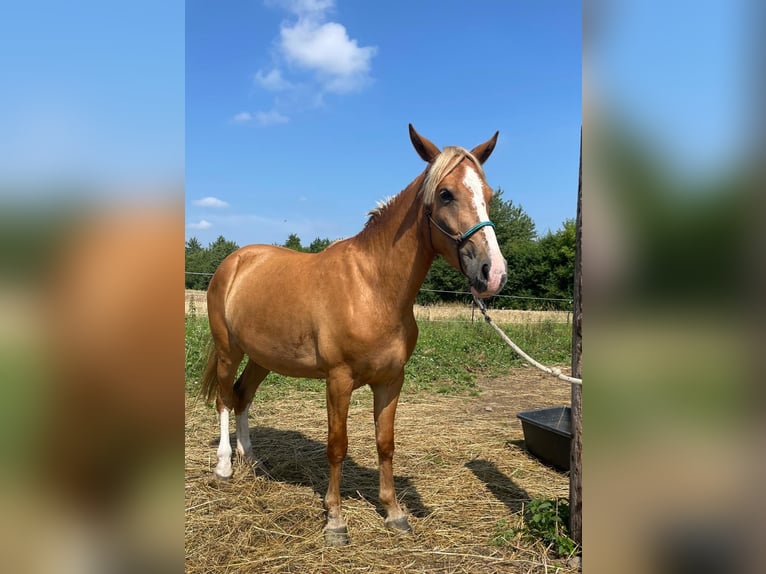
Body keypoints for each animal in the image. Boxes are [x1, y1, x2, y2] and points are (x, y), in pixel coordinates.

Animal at [201, 124, 508, 548]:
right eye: (446, 193)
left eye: (489, 195)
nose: (492, 273)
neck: (372, 288)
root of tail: (234, 261)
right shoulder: (338, 380)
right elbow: (337, 446)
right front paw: (335, 520)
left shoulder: (391, 381)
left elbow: (385, 444)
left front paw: (394, 513)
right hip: (228, 348)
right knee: (224, 400)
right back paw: (225, 466)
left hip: (262, 357)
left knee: (243, 396)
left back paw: (253, 459)